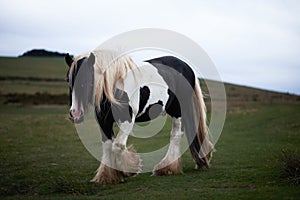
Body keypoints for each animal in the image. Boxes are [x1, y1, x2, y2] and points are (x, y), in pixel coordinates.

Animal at [64, 50, 214, 184]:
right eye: (68, 79)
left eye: (87, 78)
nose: (75, 113)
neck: (115, 85)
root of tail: (187, 67)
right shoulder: (103, 122)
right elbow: (107, 146)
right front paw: (107, 177)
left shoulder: (127, 119)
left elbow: (118, 145)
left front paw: (127, 171)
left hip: (179, 111)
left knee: (175, 135)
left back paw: (166, 168)